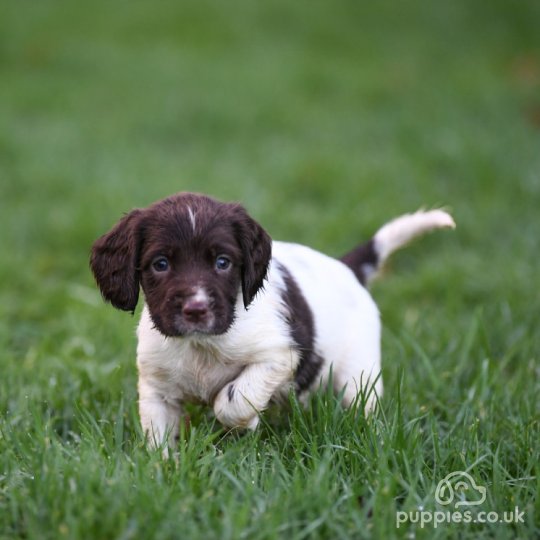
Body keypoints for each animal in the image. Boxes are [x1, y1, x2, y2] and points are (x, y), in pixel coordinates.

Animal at [90, 192, 454, 446]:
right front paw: (165, 473)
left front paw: (245, 422)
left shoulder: (279, 354)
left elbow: (236, 398)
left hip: (358, 372)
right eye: (160, 264)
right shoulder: (157, 386)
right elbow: (159, 439)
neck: (201, 344)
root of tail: (346, 267)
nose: (196, 309)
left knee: (362, 404)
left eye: (222, 262)